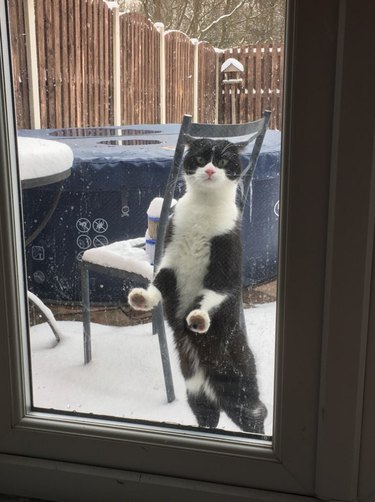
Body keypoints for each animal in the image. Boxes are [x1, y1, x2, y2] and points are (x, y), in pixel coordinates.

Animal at [129, 137, 268, 436]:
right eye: (202, 158)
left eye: (223, 161)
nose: (210, 170)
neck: (202, 211)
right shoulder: (171, 255)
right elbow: (160, 282)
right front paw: (143, 298)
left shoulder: (226, 263)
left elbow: (213, 294)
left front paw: (199, 318)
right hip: (196, 392)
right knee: (208, 416)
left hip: (241, 390)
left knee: (256, 414)